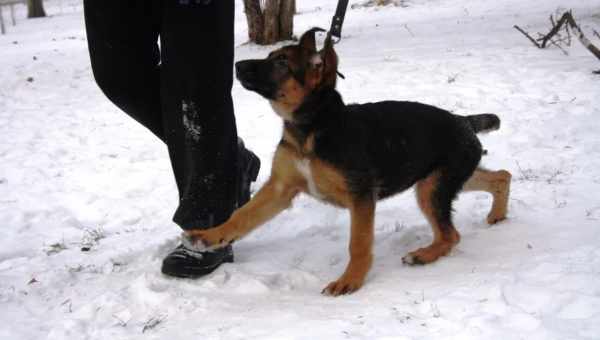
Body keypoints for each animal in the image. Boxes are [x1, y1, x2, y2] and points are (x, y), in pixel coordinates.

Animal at [188, 27, 510, 296]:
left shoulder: (361, 196)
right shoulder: (280, 189)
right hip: (441, 178)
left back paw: (422, 255)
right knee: (501, 175)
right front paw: (208, 237)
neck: (312, 127)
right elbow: (242, 216)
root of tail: (463, 121)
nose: (237, 66)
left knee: (451, 235)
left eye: (281, 63)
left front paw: (350, 280)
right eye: (270, 56)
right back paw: (497, 213)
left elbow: (358, 242)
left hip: (432, 187)